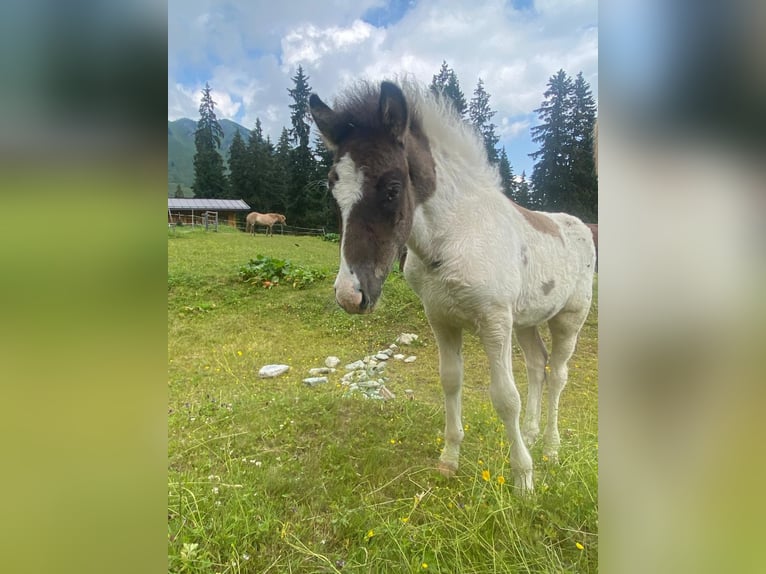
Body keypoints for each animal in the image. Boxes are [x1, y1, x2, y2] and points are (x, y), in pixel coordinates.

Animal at [310, 80, 595, 493]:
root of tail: (580, 225)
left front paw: (524, 479)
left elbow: (505, 398)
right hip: (525, 321)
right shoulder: (441, 319)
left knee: (557, 374)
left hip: (569, 319)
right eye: (334, 189)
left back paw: (550, 448)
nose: (350, 295)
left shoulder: (495, 321)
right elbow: (450, 382)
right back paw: (531, 433)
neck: (453, 238)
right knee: (536, 365)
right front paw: (449, 459)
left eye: (392, 189)